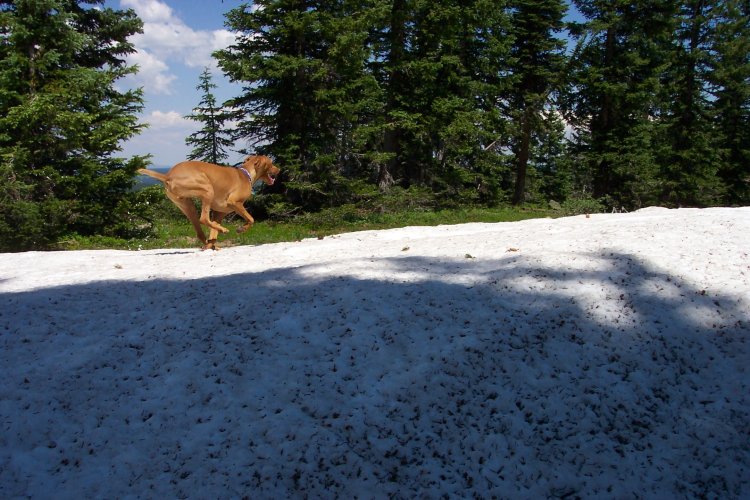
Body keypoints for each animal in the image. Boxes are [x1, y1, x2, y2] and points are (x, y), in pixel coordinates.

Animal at [139, 155, 282, 249]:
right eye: (271, 163)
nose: (279, 169)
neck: (246, 174)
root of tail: (168, 176)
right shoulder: (235, 203)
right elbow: (251, 219)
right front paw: (241, 229)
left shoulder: (219, 213)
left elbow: (213, 231)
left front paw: (212, 243)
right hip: (207, 190)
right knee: (203, 219)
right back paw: (223, 230)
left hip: (187, 205)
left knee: (200, 231)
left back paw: (211, 244)